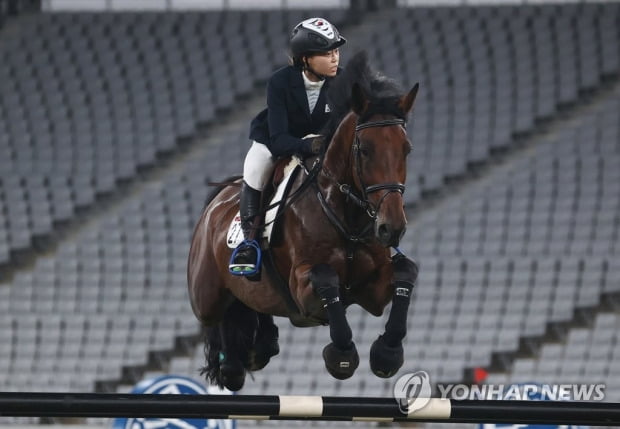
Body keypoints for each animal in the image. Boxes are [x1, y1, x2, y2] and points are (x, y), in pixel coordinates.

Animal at [189, 51, 418, 390]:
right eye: (364, 150)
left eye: (406, 150)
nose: (392, 228)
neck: (346, 216)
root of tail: (215, 205)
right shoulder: (302, 286)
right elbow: (326, 278)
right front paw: (342, 356)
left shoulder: (371, 292)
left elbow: (406, 270)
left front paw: (387, 354)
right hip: (205, 295)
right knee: (218, 317)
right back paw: (231, 364)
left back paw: (261, 346)